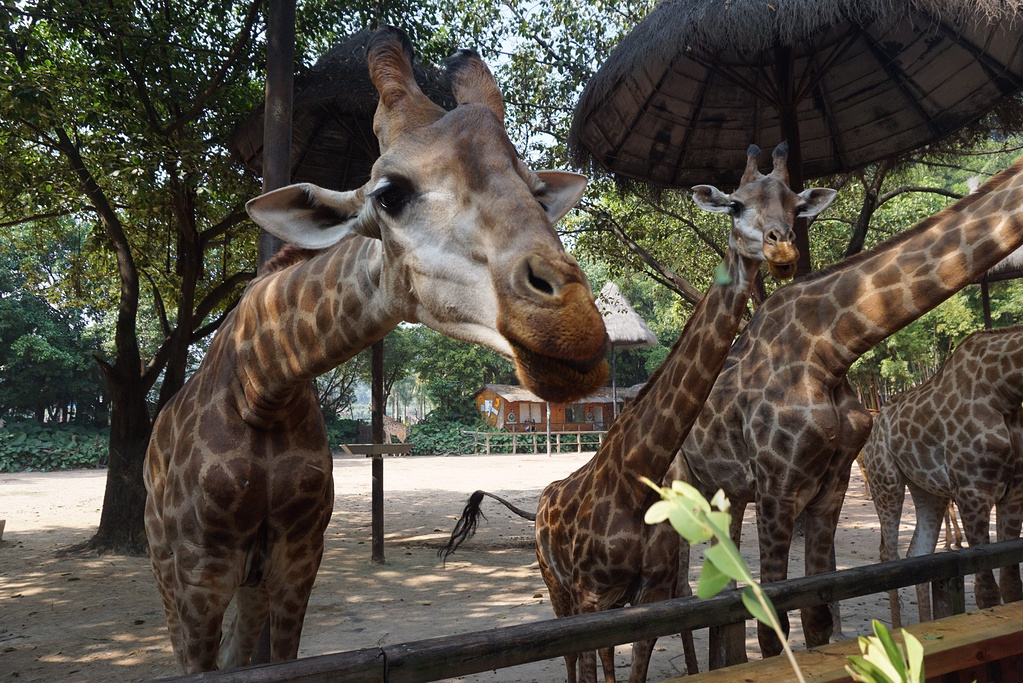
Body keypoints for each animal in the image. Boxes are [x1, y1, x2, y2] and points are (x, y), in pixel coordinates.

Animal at [143, 25, 605, 670]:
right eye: (389, 194)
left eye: (540, 194)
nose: (573, 325)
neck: (262, 387)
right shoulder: (197, 573)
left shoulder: (296, 561)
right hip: (165, 564)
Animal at [531, 145, 834, 683]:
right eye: (735, 205)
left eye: (797, 206)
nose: (782, 251)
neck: (636, 477)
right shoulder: (588, 593)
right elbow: (585, 661)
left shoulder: (649, 593)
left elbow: (634, 662)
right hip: (556, 586)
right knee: (571, 656)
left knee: (601, 655)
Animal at [863, 325, 1023, 629]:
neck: (1004, 391)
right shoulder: (972, 493)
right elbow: (987, 593)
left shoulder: (1014, 494)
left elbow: (1011, 587)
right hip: (885, 481)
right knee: (888, 555)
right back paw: (896, 633)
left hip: (928, 492)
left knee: (918, 553)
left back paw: (924, 627)